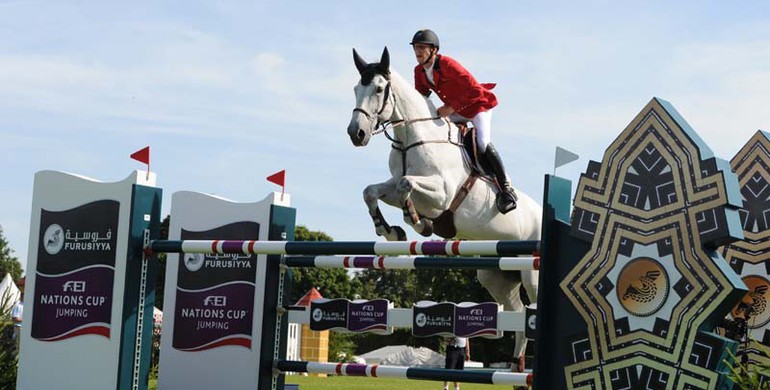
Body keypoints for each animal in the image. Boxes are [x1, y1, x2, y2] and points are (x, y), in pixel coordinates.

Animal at [344, 47, 544, 374]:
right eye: (355, 89)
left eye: (379, 89)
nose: (356, 133)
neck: (411, 138)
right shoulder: (391, 186)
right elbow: (371, 191)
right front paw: (390, 231)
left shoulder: (441, 194)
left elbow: (406, 185)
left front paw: (418, 222)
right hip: (496, 276)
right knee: (518, 314)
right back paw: (515, 366)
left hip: (532, 271)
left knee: (533, 309)